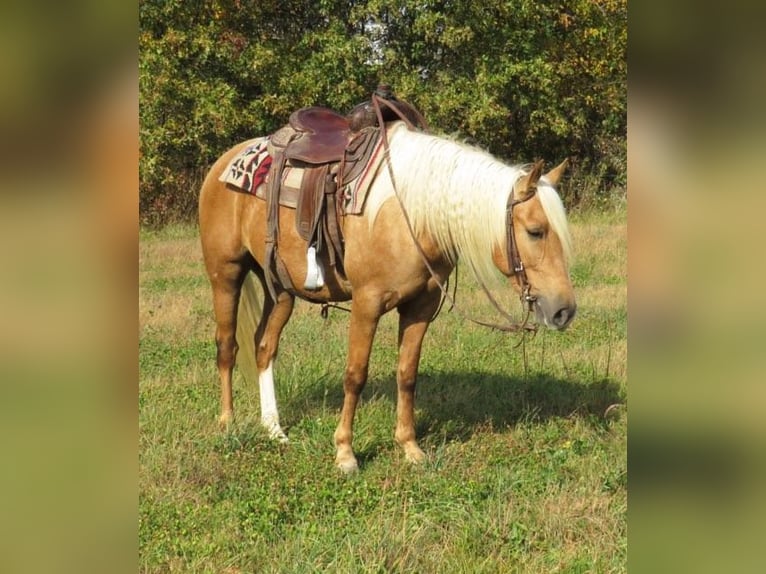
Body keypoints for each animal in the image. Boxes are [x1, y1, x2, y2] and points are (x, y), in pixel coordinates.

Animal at [198, 120, 576, 472]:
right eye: (535, 231)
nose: (564, 311)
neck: (411, 217)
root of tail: (223, 163)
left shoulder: (420, 307)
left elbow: (407, 374)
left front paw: (410, 447)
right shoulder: (367, 304)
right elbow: (355, 374)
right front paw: (345, 453)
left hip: (280, 289)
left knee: (264, 347)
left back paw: (274, 428)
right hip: (226, 275)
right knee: (227, 346)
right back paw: (228, 422)